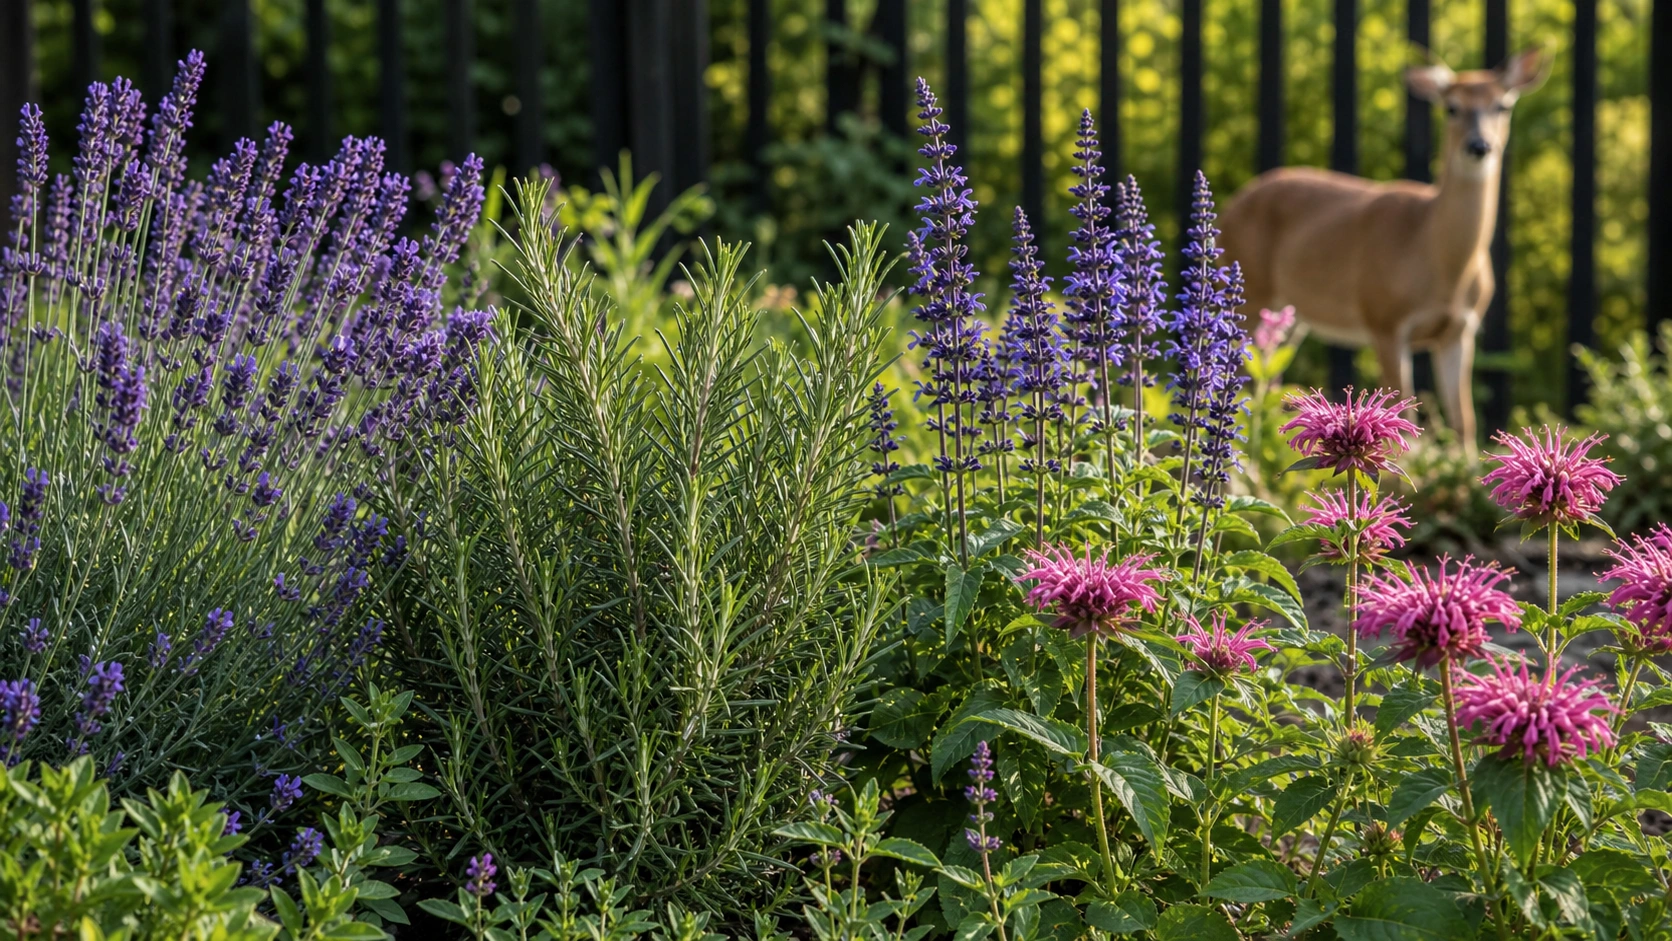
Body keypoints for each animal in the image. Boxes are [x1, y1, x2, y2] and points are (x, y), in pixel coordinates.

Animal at [1217, 47, 1550, 450]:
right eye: (1451, 107)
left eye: (1502, 105)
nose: (1479, 146)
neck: (1436, 256)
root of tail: (1231, 207)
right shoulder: (1384, 319)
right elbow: (1405, 413)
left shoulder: (1459, 329)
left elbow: (1464, 421)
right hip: (1251, 292)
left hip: (1291, 316)